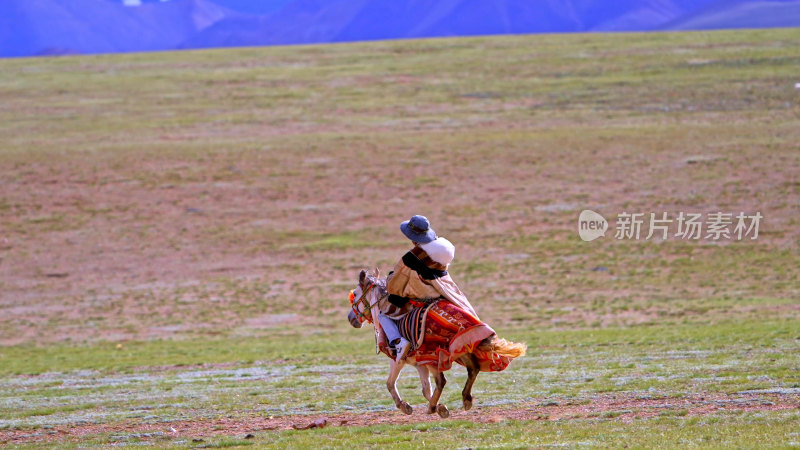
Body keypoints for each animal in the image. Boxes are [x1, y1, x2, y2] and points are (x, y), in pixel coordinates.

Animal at [346, 268, 524, 418]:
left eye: (355, 293)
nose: (350, 318)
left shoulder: (399, 359)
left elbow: (390, 383)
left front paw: (406, 406)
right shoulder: (420, 363)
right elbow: (425, 389)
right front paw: (441, 407)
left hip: (436, 354)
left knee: (443, 380)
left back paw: (432, 408)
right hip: (459, 349)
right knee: (473, 369)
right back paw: (465, 399)